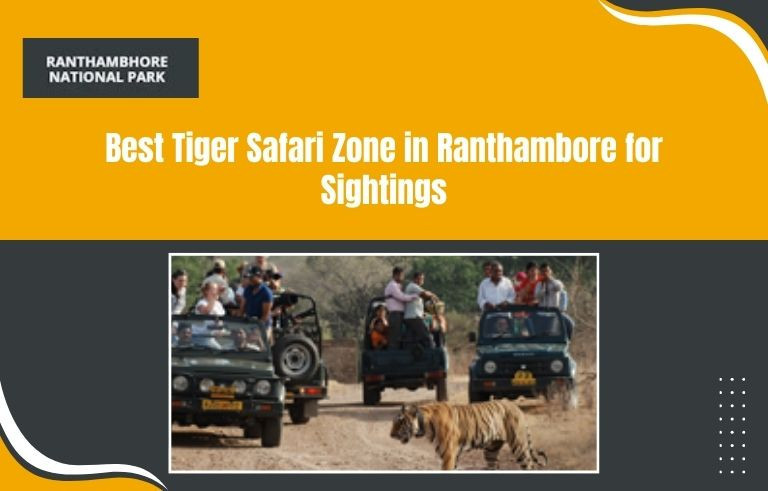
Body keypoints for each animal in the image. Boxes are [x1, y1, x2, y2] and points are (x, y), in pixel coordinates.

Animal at [390, 400, 547, 471]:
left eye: (401, 421)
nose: (391, 435)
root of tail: (515, 405)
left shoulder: (448, 455)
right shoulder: (453, 456)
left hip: (519, 446)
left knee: (530, 465)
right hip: (491, 450)